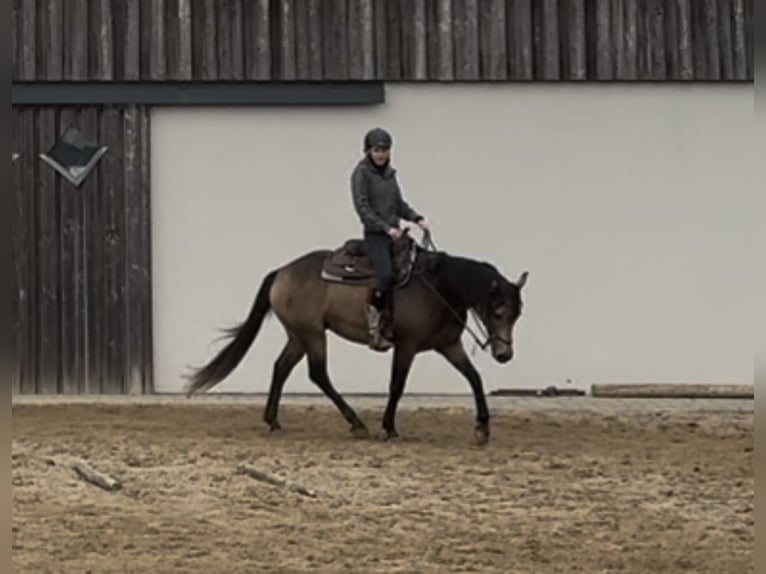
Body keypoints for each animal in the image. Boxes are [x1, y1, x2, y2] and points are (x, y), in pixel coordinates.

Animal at [184, 230, 532, 446]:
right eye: (497, 311)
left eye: (517, 314)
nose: (504, 355)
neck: (437, 287)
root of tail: (281, 271)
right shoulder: (406, 346)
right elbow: (397, 385)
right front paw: (389, 427)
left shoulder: (448, 345)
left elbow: (474, 378)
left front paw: (482, 429)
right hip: (312, 334)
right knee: (318, 374)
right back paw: (356, 423)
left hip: (298, 335)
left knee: (281, 367)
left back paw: (273, 420)